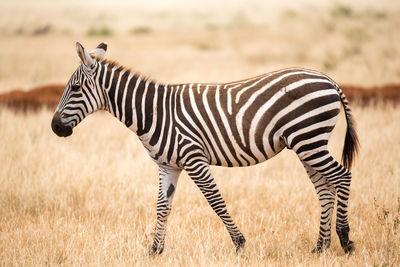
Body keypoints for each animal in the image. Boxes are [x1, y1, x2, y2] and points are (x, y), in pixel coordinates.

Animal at [50, 42, 360, 255]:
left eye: (75, 88)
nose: (54, 127)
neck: (153, 112)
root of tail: (328, 79)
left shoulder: (193, 158)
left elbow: (215, 201)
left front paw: (239, 244)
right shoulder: (168, 165)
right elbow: (162, 206)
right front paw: (155, 250)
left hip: (309, 138)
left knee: (343, 176)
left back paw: (345, 240)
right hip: (307, 143)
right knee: (324, 188)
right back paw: (320, 247)